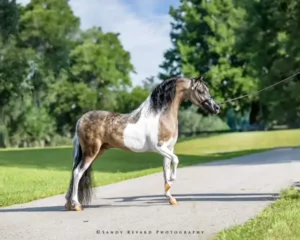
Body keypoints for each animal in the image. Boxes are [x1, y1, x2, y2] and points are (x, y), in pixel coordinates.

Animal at [64, 75, 220, 210]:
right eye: (200, 90)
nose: (216, 107)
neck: (160, 116)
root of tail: (80, 120)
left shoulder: (168, 150)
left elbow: (166, 171)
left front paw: (170, 197)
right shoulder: (160, 147)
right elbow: (176, 161)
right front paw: (171, 182)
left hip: (98, 151)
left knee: (75, 172)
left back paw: (68, 203)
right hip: (91, 152)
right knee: (77, 172)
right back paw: (76, 205)